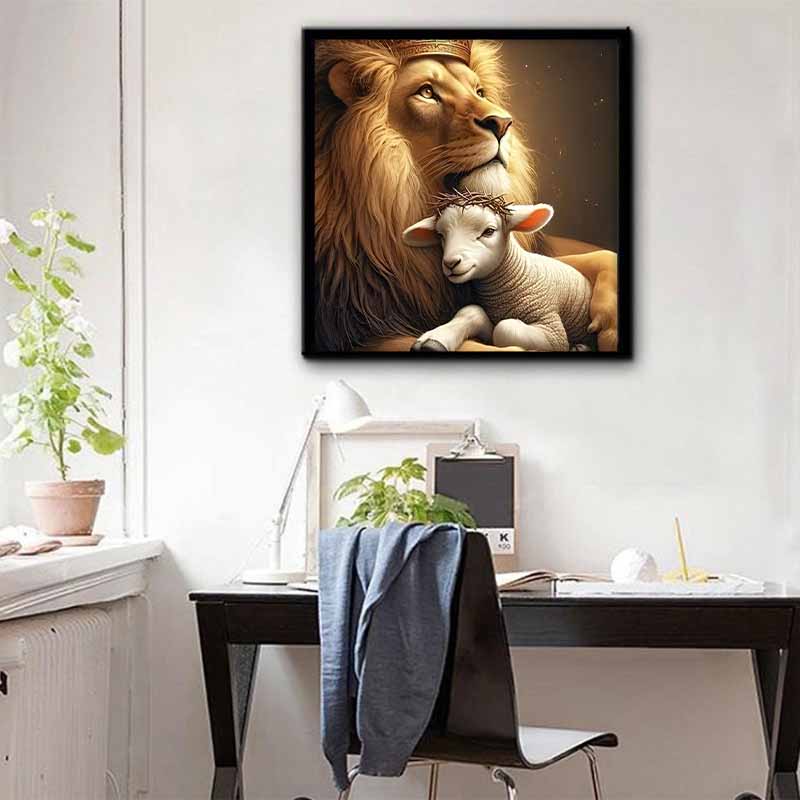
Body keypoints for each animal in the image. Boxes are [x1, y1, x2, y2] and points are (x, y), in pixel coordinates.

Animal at [314, 38, 618, 353]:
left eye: (479, 91)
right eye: (426, 92)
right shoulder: (360, 328)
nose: (503, 123)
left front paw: (607, 326)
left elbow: (599, 256)